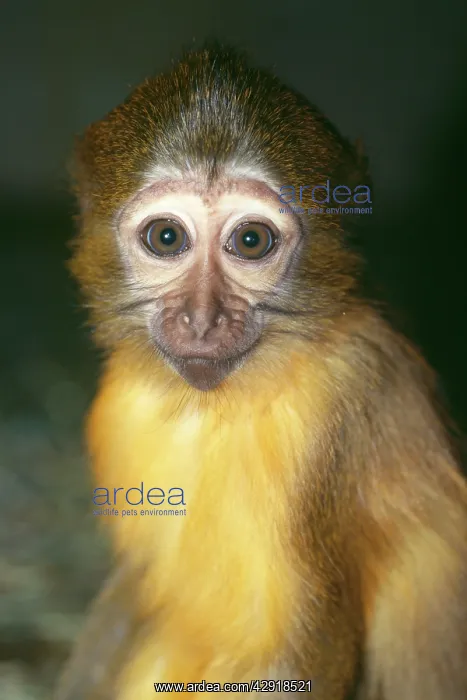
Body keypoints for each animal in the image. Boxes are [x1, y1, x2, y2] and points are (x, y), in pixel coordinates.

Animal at [55, 44, 467, 700]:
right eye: (166, 236)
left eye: (250, 241)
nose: (202, 319)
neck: (223, 400)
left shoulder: (346, 402)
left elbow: (313, 653)